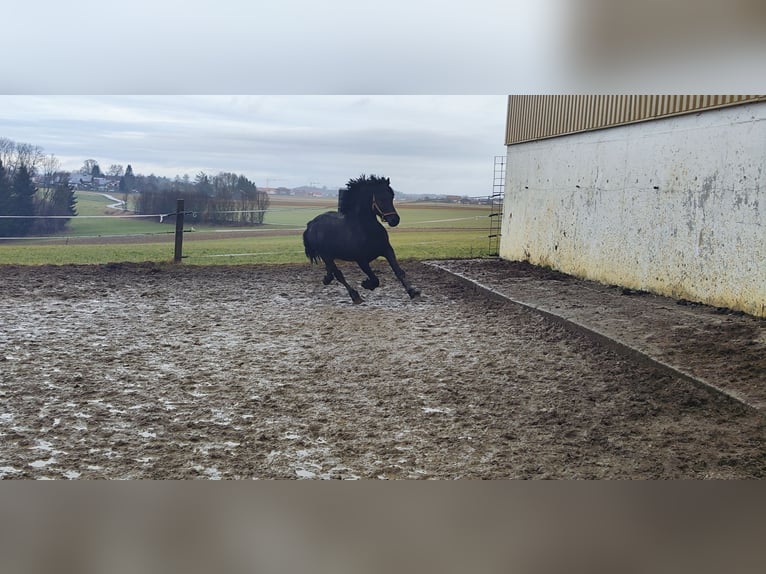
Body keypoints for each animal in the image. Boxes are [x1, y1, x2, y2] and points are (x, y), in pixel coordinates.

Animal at [303, 174, 421, 304]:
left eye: (391, 197)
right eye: (380, 198)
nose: (394, 220)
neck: (366, 229)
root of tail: (311, 224)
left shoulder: (387, 250)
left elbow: (398, 271)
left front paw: (413, 292)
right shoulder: (361, 260)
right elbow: (375, 279)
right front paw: (366, 284)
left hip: (329, 256)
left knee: (331, 270)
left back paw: (327, 279)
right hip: (326, 255)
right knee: (339, 274)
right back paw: (355, 296)